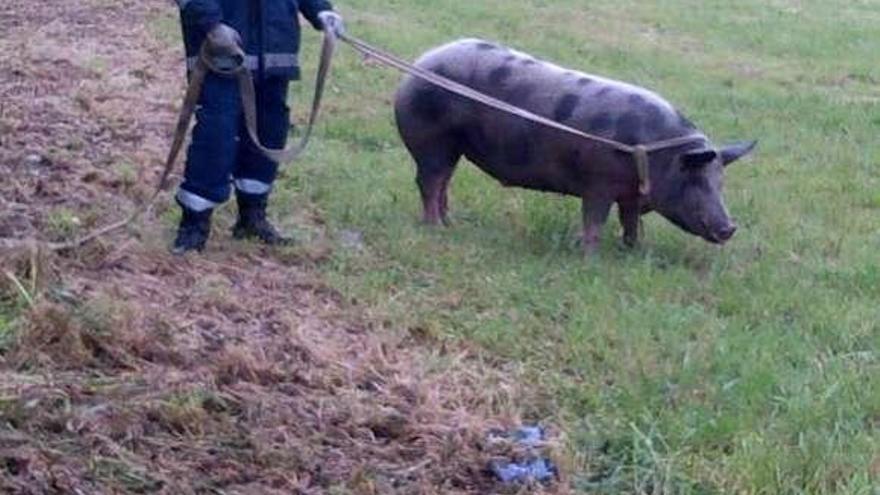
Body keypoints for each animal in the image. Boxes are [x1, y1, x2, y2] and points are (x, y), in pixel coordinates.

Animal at [394, 38, 756, 256]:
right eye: (696, 178)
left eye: (720, 182)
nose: (730, 227)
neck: (651, 151)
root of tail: (421, 64)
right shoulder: (599, 183)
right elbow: (595, 219)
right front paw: (590, 256)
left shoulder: (629, 194)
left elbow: (630, 222)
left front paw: (633, 251)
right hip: (432, 141)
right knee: (429, 182)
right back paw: (435, 228)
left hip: (452, 148)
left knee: (443, 183)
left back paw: (451, 223)